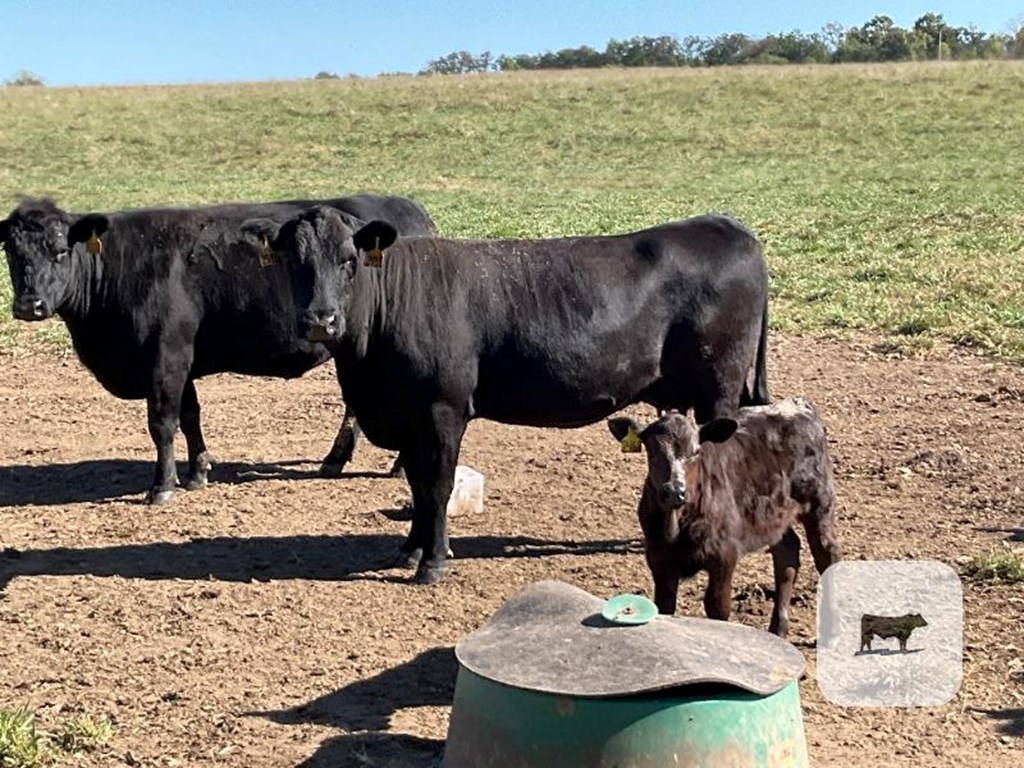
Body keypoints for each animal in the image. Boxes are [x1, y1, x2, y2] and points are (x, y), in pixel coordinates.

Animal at [0, 195, 434, 501]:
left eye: (60, 250)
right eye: (11, 251)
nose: (29, 305)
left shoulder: (166, 357)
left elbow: (162, 423)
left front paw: (163, 487)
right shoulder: (182, 360)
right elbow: (190, 416)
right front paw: (197, 472)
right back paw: (338, 460)